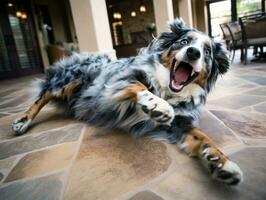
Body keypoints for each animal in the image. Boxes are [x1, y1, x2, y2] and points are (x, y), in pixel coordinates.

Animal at [11, 18, 243, 184]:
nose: (193, 52)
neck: (167, 89)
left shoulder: (181, 123)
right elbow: (139, 86)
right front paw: (158, 106)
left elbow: (204, 137)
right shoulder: (115, 82)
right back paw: (22, 121)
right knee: (43, 94)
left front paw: (222, 163)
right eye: (184, 42)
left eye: (207, 52)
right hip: (72, 78)